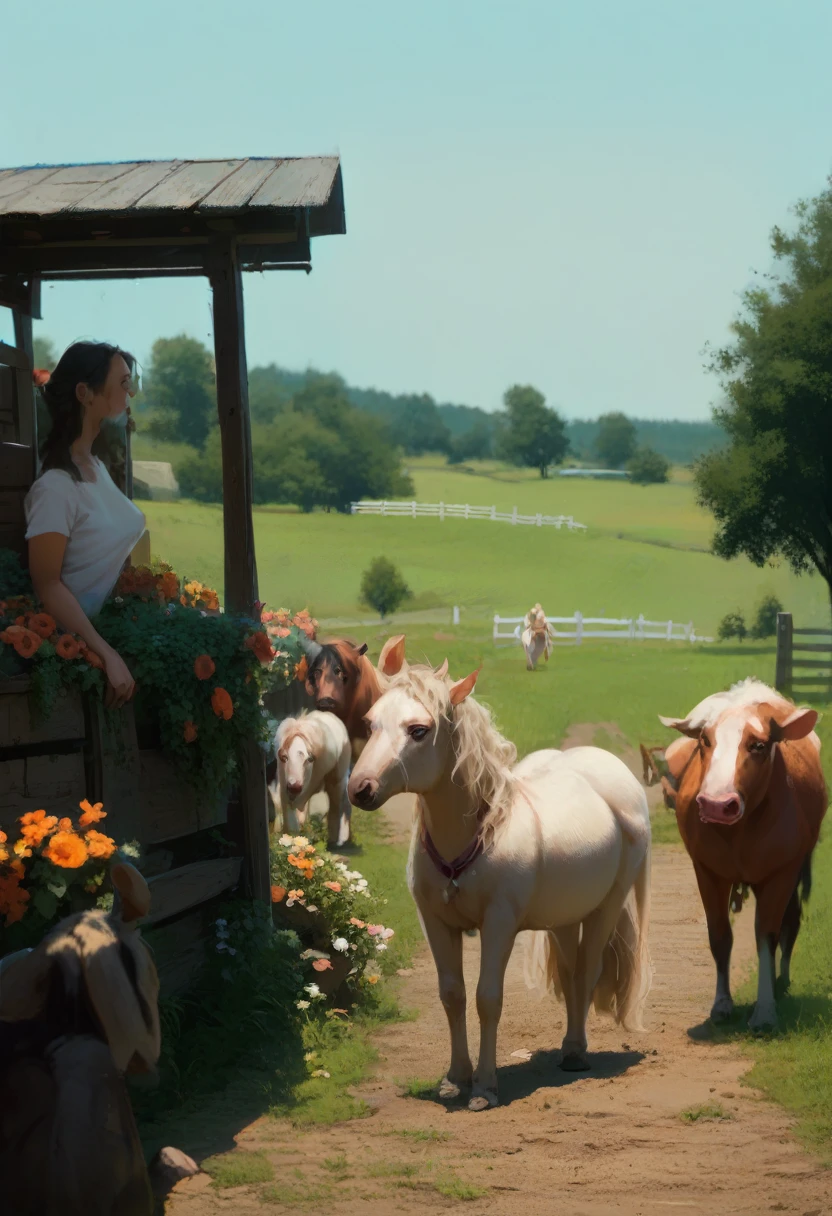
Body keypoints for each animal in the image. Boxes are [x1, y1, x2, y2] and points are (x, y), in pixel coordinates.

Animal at [271, 710, 352, 846]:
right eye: (285, 757)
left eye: (309, 759)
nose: (294, 786)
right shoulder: (284, 789)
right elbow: (290, 823)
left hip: (339, 779)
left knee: (340, 804)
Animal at [347, 646, 651, 1113]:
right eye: (370, 722)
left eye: (419, 730)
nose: (360, 788)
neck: (477, 835)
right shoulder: (434, 922)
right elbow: (452, 995)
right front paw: (455, 1078)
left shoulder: (500, 925)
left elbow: (487, 998)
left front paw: (485, 1087)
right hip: (564, 917)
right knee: (570, 974)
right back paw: (569, 1048)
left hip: (608, 904)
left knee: (588, 970)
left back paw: (577, 1052)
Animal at [656, 680, 827, 1031]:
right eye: (705, 741)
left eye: (758, 745)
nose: (716, 805)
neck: (739, 832)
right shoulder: (707, 872)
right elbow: (720, 935)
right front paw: (722, 1004)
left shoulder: (781, 873)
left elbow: (767, 936)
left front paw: (765, 1009)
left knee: (791, 921)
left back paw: (781, 981)